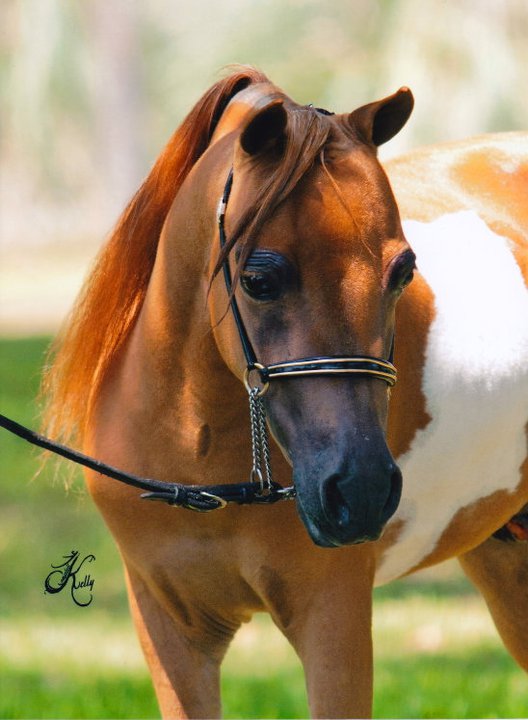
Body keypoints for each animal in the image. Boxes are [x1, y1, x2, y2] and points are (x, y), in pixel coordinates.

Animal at [42, 67, 528, 718]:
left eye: (403, 272)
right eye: (258, 279)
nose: (362, 491)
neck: (198, 460)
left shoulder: (333, 619)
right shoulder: (169, 632)